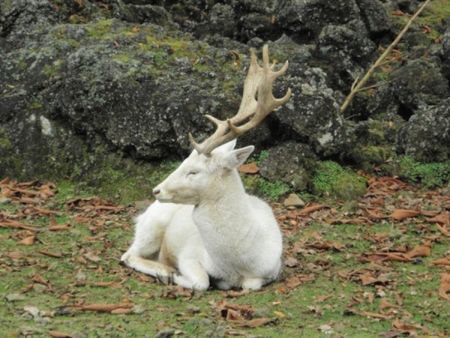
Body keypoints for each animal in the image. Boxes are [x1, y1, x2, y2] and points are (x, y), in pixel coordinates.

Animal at [121, 45, 292, 290]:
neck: (240, 262)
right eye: (183, 162)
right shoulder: (190, 253)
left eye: (193, 171)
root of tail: (142, 215)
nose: (157, 190)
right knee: (128, 255)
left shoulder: (273, 269)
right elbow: (201, 282)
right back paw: (164, 270)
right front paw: (174, 274)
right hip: (151, 226)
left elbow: (251, 285)